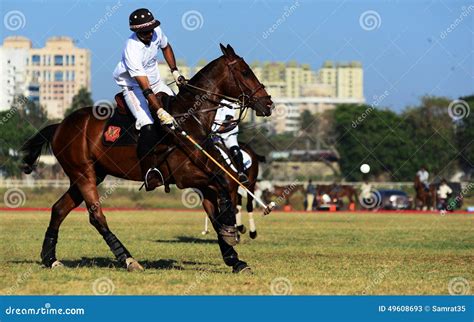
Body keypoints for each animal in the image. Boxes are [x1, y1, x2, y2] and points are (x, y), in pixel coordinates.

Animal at [21, 44, 274, 272]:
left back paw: (50, 259)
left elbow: (218, 207)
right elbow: (223, 186)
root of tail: (59, 126)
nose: (269, 103)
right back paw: (128, 259)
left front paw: (235, 258)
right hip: (83, 173)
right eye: (245, 72)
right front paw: (232, 233)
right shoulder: (187, 177)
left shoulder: (204, 179)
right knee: (96, 216)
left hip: (91, 173)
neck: (190, 121)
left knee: (59, 209)